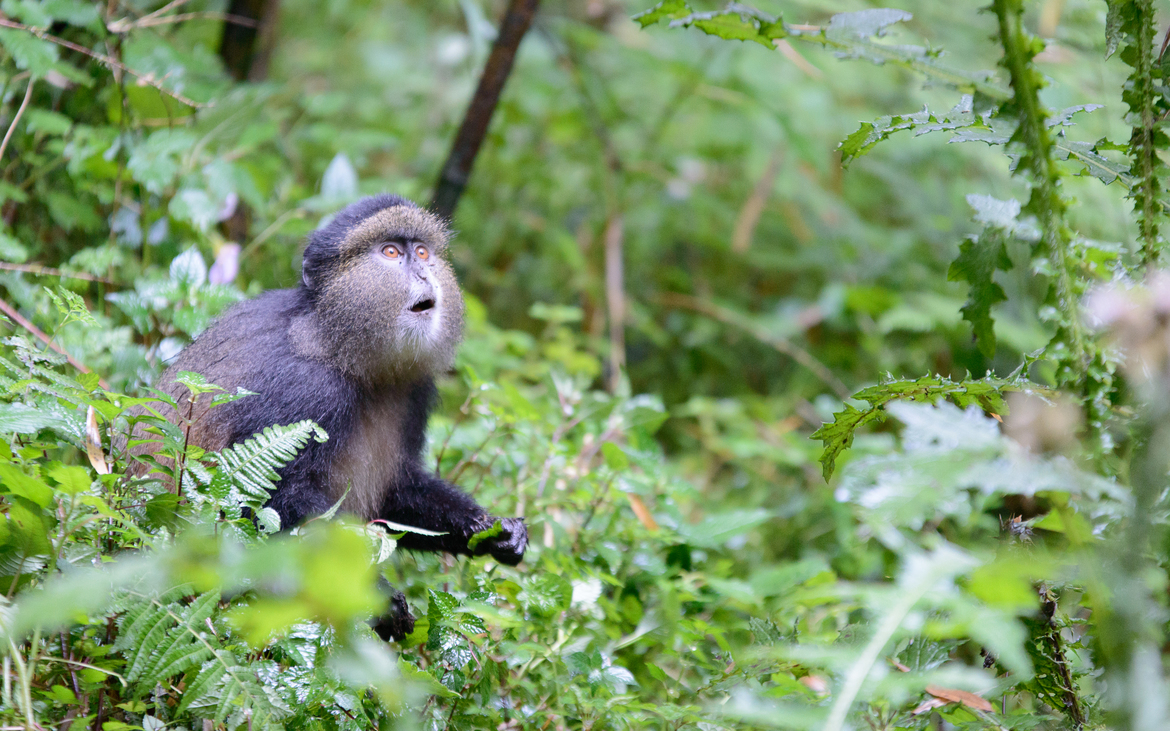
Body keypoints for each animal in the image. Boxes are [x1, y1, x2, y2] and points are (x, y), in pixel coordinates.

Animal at [128, 194, 528, 640]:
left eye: (423, 252)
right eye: (391, 252)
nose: (424, 272)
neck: (341, 347)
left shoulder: (415, 389)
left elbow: (396, 490)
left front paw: (496, 530)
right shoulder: (303, 390)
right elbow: (270, 503)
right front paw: (380, 599)